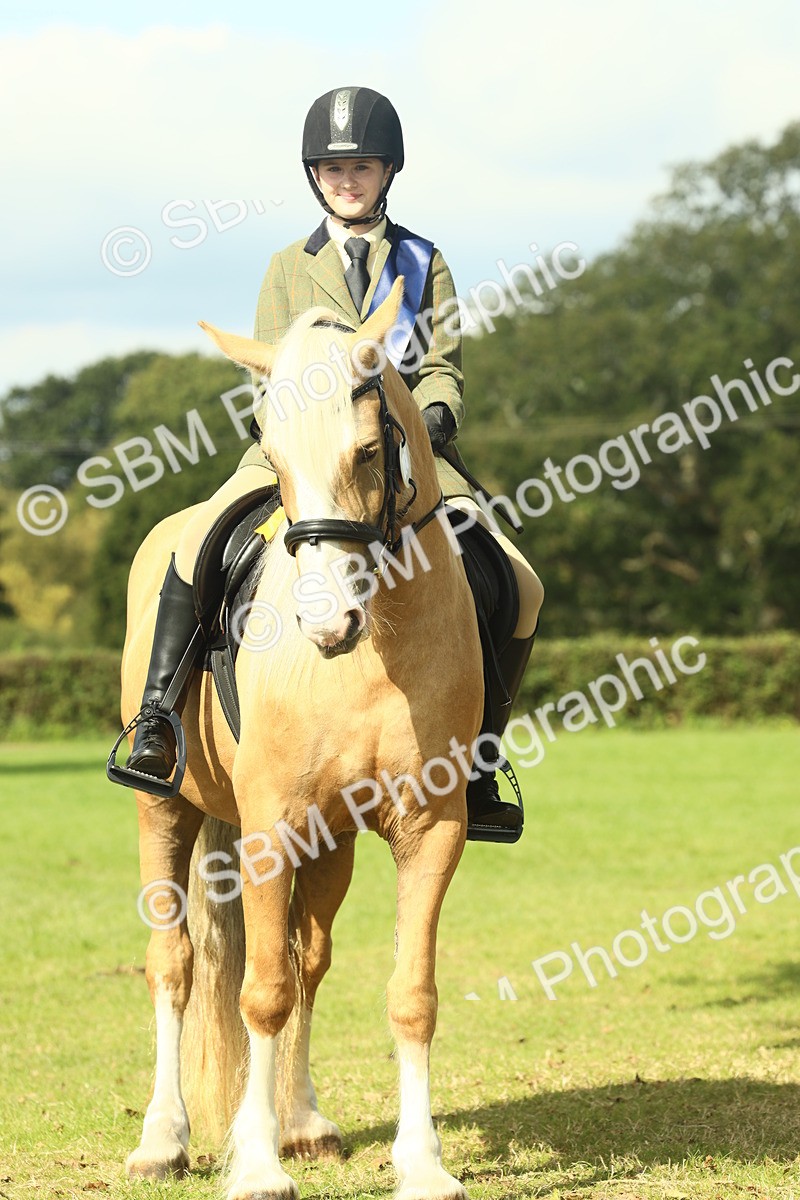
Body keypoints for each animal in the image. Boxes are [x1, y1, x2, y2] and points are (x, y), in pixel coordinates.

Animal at [121, 278, 484, 1200]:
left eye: (369, 452)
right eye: (274, 458)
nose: (327, 628)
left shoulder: (431, 829)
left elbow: (409, 994)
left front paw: (423, 1164)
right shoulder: (266, 830)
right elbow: (260, 992)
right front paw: (253, 1165)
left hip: (331, 844)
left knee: (308, 959)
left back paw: (304, 1122)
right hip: (165, 811)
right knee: (175, 963)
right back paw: (163, 1138)